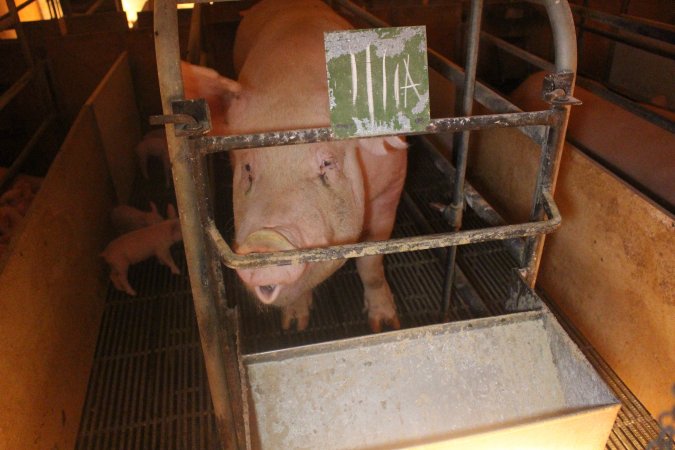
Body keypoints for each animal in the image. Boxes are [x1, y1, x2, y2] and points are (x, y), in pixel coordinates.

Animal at [203, 0, 410, 330]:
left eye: (327, 163)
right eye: (247, 168)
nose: (266, 243)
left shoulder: (391, 189)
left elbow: (372, 260)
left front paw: (386, 324)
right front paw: (295, 326)